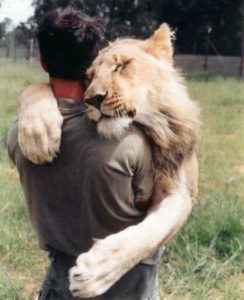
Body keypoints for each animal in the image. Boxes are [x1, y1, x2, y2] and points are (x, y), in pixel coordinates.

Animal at [17, 24, 199, 298]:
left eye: (121, 65)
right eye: (89, 78)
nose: (93, 99)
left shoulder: (181, 192)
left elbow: (148, 235)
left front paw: (96, 271)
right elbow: (36, 85)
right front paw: (38, 134)